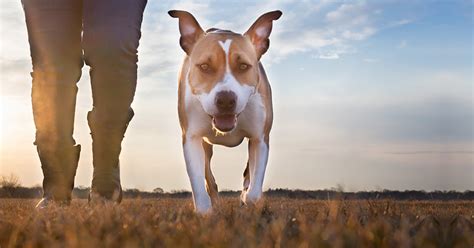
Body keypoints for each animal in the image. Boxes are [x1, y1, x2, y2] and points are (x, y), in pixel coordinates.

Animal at [169, 8, 282, 212]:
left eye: (243, 66)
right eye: (204, 66)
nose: (226, 100)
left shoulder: (260, 139)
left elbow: (254, 189)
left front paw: (246, 197)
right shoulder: (191, 138)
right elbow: (199, 185)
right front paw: (205, 211)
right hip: (206, 146)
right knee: (209, 179)